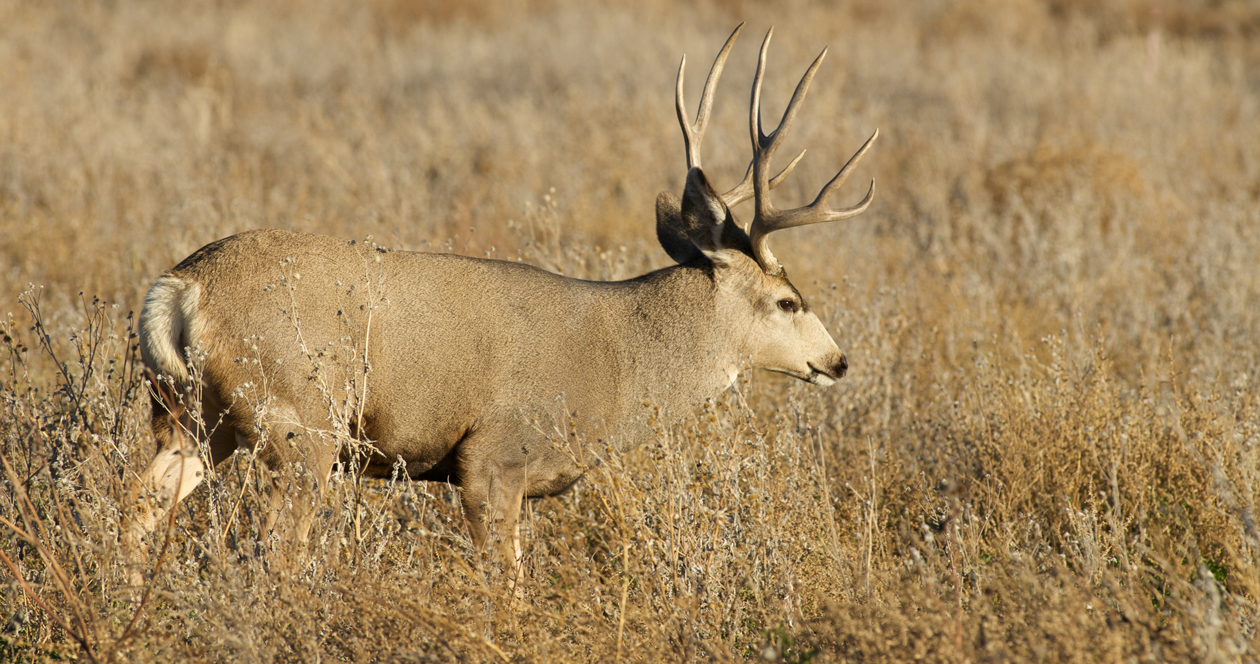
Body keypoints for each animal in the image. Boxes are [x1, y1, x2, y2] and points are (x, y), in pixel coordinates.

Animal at [125, 23, 876, 569]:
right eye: (788, 301)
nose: (839, 362)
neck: (620, 358)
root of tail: (183, 286)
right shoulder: (494, 456)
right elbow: (505, 584)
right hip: (298, 419)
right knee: (275, 546)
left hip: (191, 415)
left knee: (137, 506)